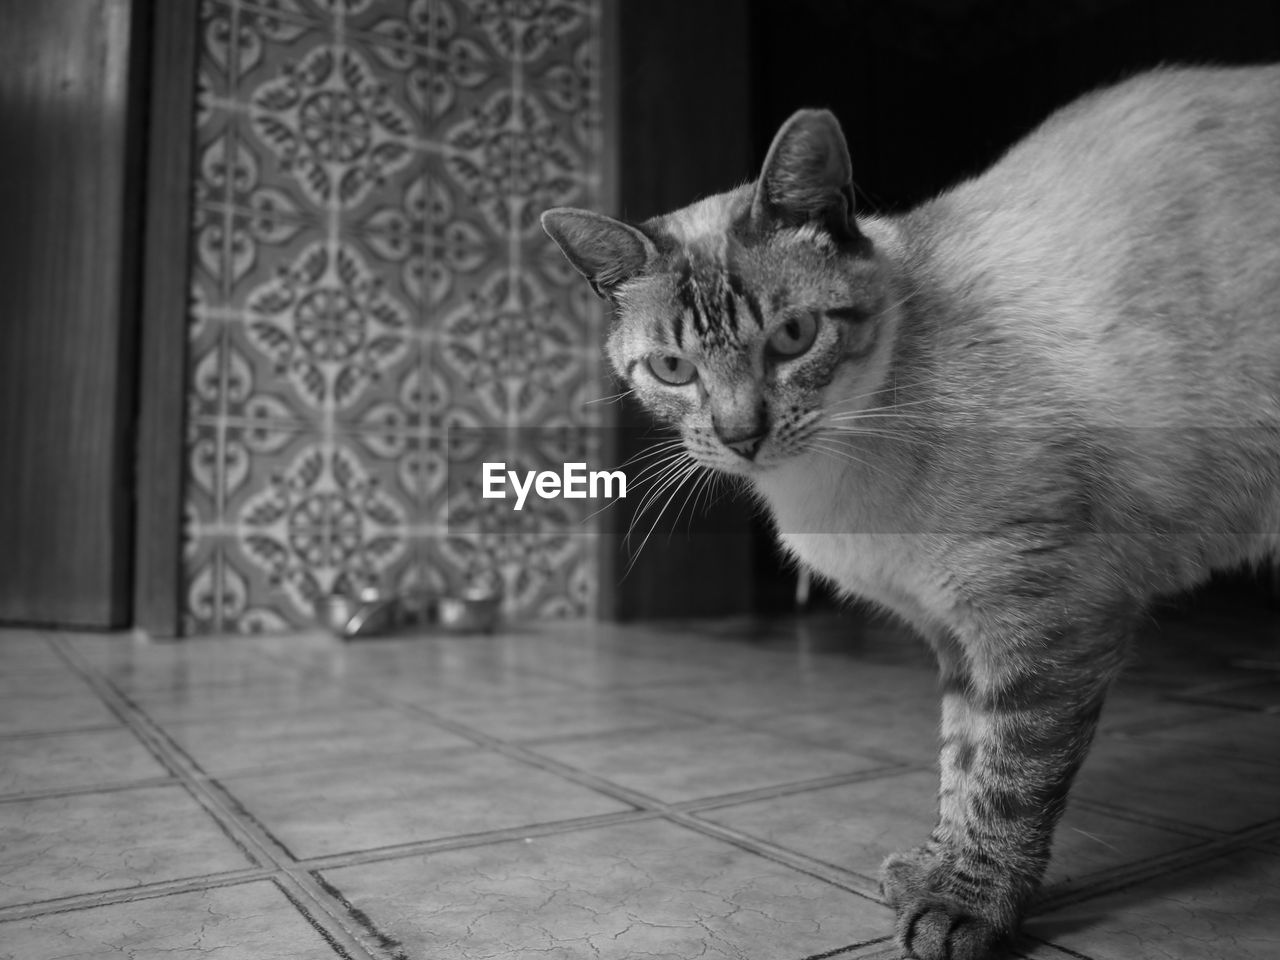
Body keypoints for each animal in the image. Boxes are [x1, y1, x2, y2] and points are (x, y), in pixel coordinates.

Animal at [540, 65, 1280, 960]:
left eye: (794, 336)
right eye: (674, 369)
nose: (742, 436)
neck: (831, 483)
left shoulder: (1044, 624)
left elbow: (1008, 779)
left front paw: (965, 909)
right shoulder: (956, 636)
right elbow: (960, 761)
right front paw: (932, 870)